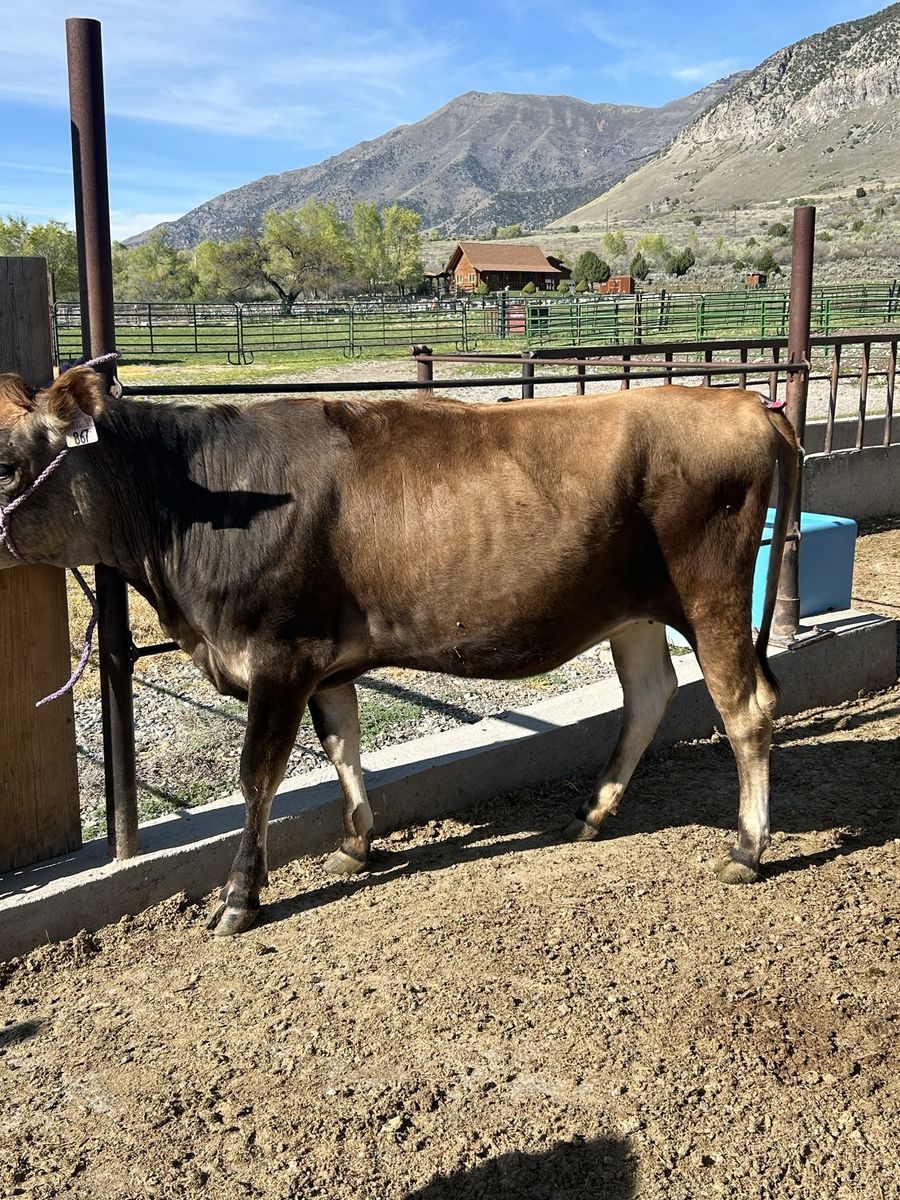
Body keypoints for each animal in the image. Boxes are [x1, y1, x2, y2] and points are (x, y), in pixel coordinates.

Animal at [0, 367, 799, 936]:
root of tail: (745, 404)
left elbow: (258, 774)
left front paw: (239, 898)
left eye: (7, 467)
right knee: (651, 693)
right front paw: (357, 843)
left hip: (710, 591)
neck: (201, 503)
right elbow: (343, 746)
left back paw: (745, 848)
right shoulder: (323, 660)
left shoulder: (279, 653)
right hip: (631, 610)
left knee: (746, 706)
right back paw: (592, 813)